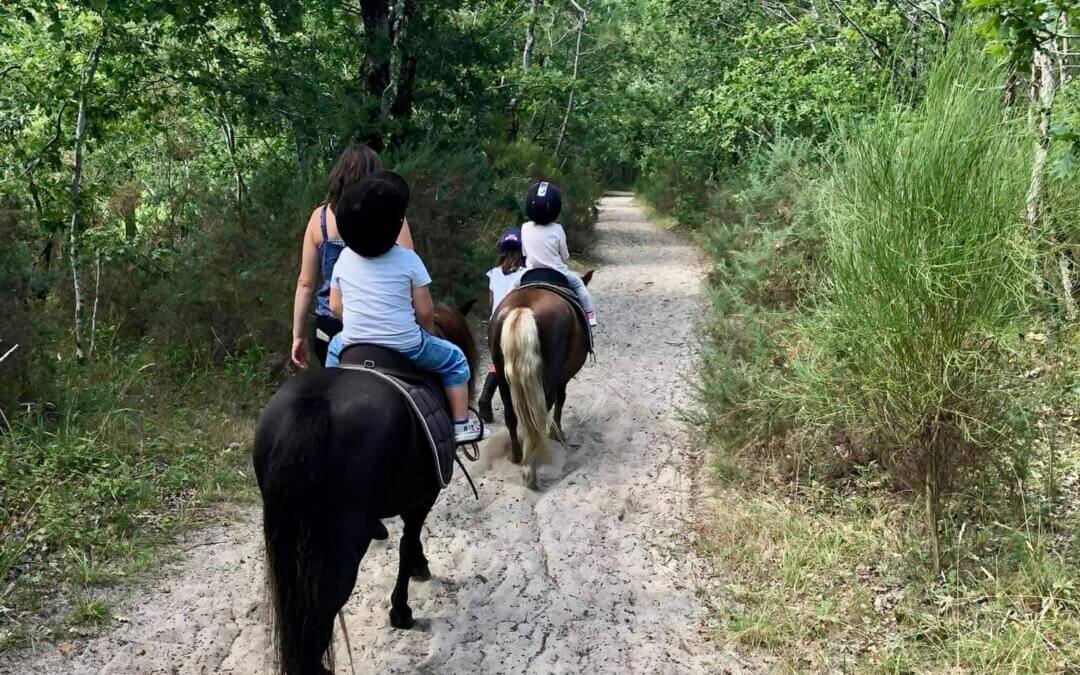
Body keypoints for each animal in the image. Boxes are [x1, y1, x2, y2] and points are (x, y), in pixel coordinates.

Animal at [488, 271, 591, 486]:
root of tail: (522, 308)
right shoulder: (562, 376)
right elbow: (561, 399)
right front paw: (557, 434)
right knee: (539, 413)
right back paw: (531, 469)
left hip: (501, 375)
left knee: (511, 414)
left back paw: (517, 456)